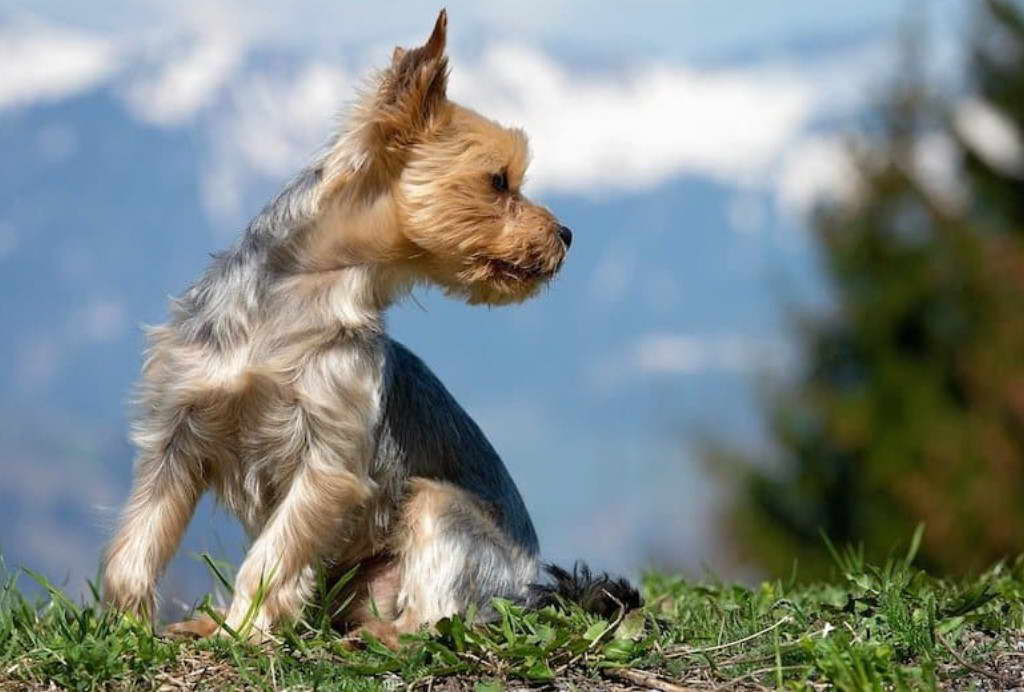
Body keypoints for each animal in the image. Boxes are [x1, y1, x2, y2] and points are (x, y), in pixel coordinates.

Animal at [99, 9, 634, 642]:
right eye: (499, 181)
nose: (567, 235)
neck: (299, 302)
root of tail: (529, 588)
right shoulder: (179, 427)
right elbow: (139, 540)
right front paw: (128, 625)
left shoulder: (328, 454)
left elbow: (270, 558)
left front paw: (247, 633)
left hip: (437, 507)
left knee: (434, 619)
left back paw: (370, 635)